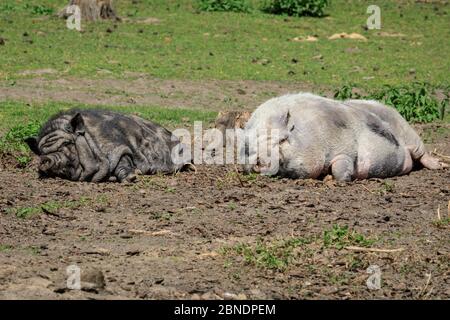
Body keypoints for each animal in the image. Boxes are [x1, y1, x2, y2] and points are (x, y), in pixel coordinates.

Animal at [25, 109, 190, 182]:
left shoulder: (116, 147)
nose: (47, 159)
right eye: (41, 152)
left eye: (68, 143)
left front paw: (132, 177)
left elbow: (124, 158)